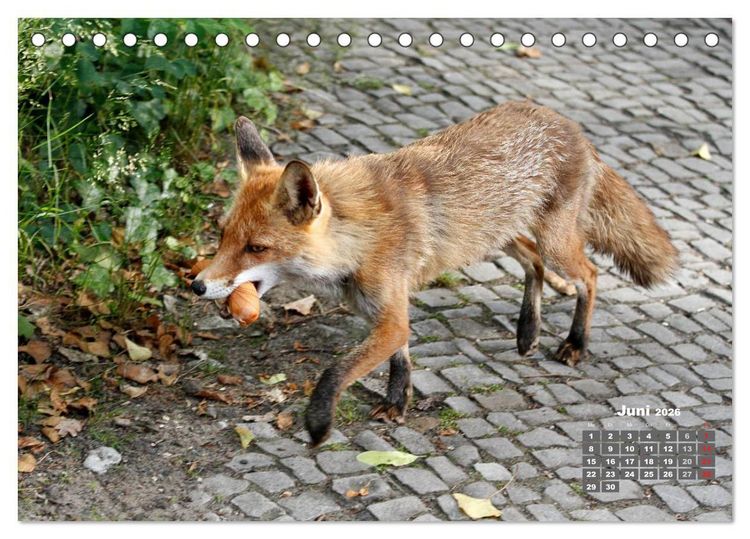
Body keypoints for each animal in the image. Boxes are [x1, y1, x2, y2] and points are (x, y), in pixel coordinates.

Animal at [191, 100, 678, 446]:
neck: (359, 236)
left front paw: (318, 423)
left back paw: (575, 343)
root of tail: (569, 124)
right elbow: (400, 360)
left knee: (589, 276)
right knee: (533, 262)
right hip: (489, 235)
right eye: (223, 236)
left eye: (256, 248)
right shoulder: (388, 311)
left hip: (552, 243)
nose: (197, 285)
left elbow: (336, 370)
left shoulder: (390, 314)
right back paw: (528, 330)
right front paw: (397, 403)